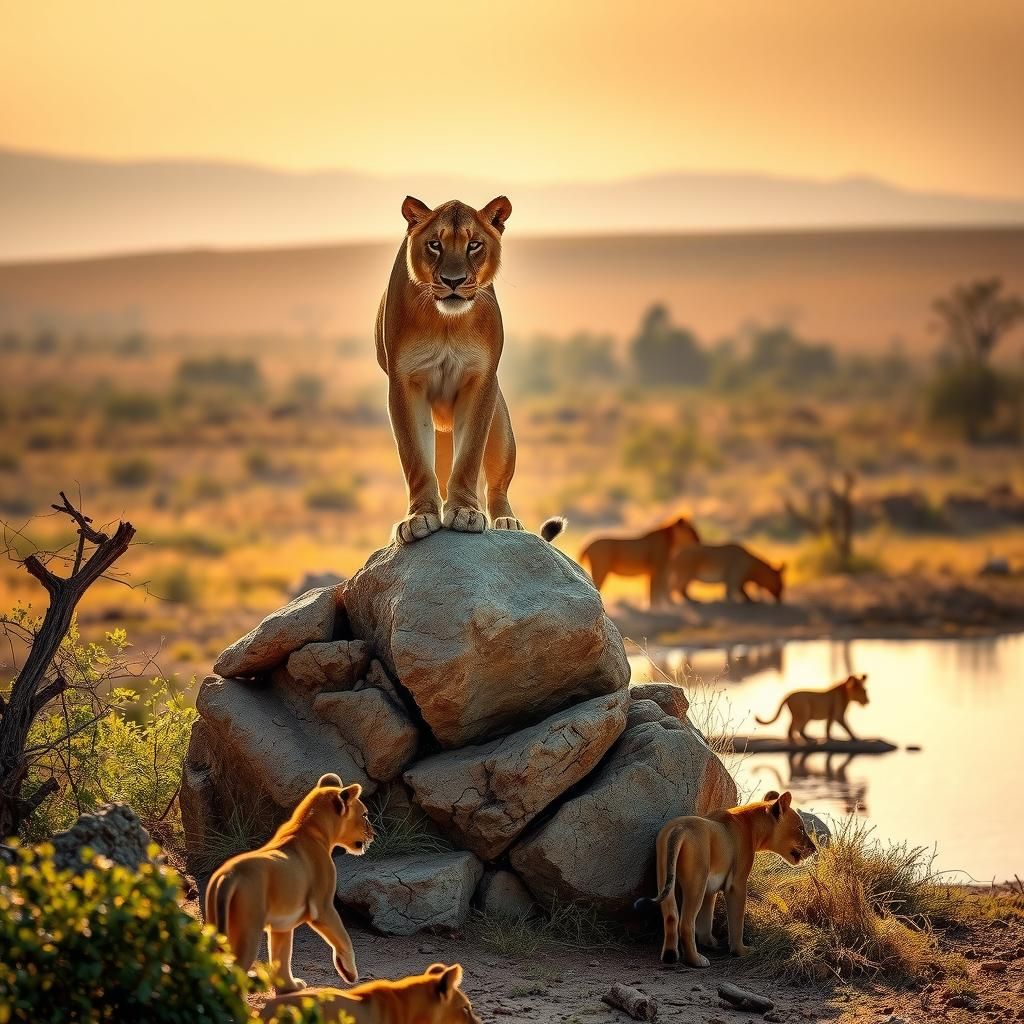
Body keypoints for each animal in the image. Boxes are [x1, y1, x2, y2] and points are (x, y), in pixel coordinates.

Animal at [204, 773, 373, 993]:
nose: (373, 834)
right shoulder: (322, 908)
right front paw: (349, 973)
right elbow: (344, 938)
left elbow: (281, 956)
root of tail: (228, 875)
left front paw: (289, 987)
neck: (309, 827)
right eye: (365, 815)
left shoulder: (282, 926)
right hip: (247, 930)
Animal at [377, 194, 554, 546]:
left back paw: (507, 522)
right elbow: (416, 458)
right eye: (435, 244)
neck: (447, 320)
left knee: (497, 483)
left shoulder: (480, 380)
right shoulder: (405, 383)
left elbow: (470, 457)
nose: (453, 282)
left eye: (474, 245)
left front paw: (466, 513)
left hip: (501, 426)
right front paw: (419, 518)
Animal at [634, 791, 815, 967]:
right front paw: (740, 951)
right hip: (696, 883)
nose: (814, 849)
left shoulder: (710, 890)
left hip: (666, 878)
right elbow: (736, 921)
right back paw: (696, 961)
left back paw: (670, 956)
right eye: (801, 828)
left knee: (671, 917)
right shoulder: (737, 884)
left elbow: (706, 919)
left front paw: (709, 943)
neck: (752, 825)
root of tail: (680, 828)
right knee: (685, 923)